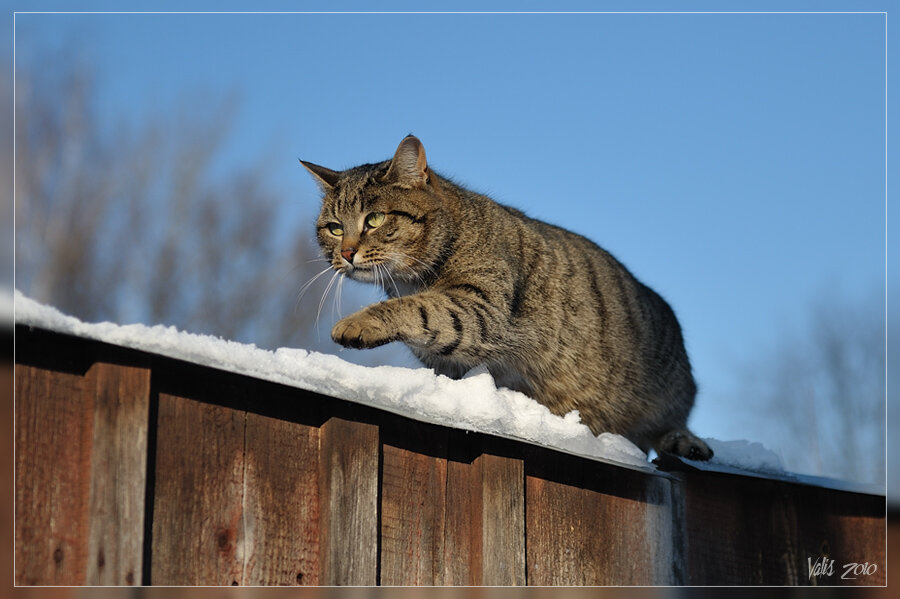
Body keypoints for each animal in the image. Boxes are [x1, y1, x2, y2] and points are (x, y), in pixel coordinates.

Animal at [300, 136, 712, 462]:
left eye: (374, 219)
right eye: (334, 228)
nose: (347, 253)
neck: (408, 280)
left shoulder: (482, 309)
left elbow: (423, 308)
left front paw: (359, 321)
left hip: (671, 390)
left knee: (667, 426)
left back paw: (686, 442)